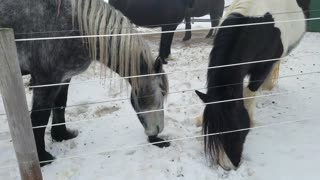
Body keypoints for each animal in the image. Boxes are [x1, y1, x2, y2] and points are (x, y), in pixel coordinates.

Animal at [0, 0, 170, 166]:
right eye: (162, 91)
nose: (158, 131)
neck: (75, 27)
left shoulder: (64, 78)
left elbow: (60, 105)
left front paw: (62, 135)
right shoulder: (46, 81)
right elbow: (39, 118)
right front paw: (43, 158)